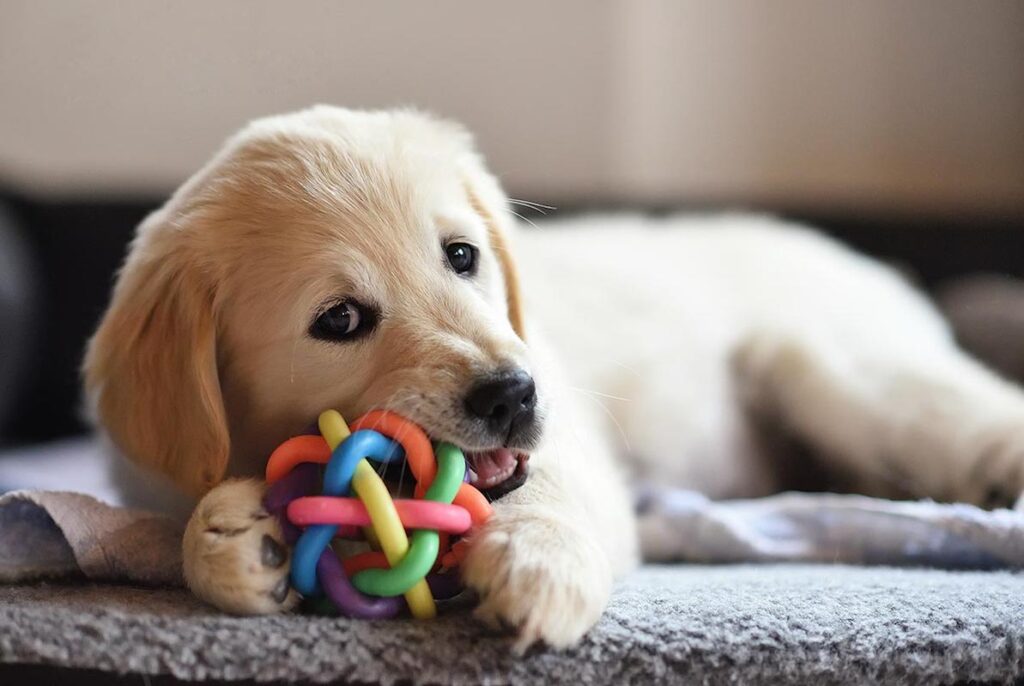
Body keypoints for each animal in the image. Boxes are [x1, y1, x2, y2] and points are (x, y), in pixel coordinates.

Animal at [81, 105, 1024, 651]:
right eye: (339, 320)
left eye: (462, 256)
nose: (511, 394)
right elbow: (184, 525)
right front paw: (234, 539)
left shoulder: (571, 438)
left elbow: (547, 491)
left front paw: (538, 564)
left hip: (831, 370)